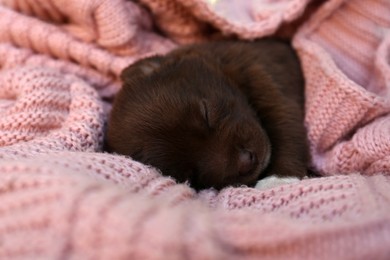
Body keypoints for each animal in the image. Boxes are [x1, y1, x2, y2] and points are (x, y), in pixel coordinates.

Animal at [105, 38, 310, 189]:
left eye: (206, 113)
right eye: (191, 174)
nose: (246, 161)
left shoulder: (260, 75)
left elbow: (286, 128)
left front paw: (280, 178)